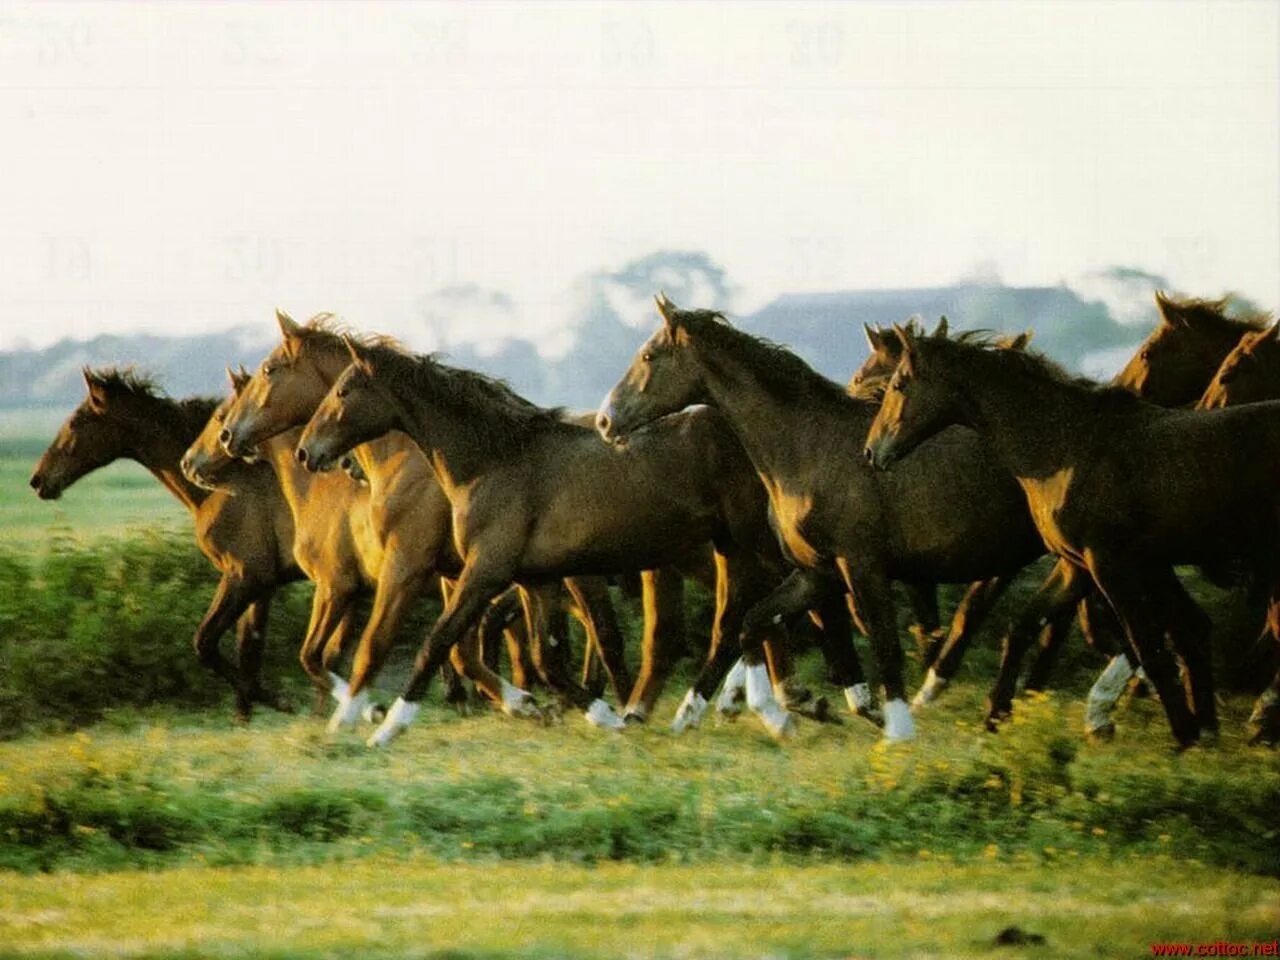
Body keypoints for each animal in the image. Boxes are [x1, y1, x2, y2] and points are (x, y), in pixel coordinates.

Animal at [33, 368, 298, 721]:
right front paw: (248, 717)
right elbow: (248, 650)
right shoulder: (261, 586)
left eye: (76, 422)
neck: (223, 485)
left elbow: (205, 643)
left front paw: (281, 701)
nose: (38, 480)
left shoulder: (246, 576)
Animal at [599, 295, 1049, 742]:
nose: (606, 420)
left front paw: (895, 729)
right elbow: (757, 623)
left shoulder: (862, 565)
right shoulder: (817, 571)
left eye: (648, 355)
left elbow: (881, 641)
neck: (808, 448)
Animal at [865, 327, 1280, 747]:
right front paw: (995, 718)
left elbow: (1148, 648)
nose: (871, 452)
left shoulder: (1110, 565)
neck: (1066, 449)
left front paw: (1184, 738)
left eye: (899, 384)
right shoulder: (1077, 565)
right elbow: (1023, 627)